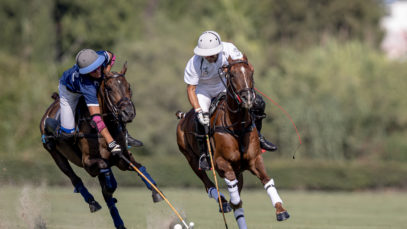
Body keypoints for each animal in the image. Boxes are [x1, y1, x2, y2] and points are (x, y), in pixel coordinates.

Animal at [40, 63, 163, 229]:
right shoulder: (88, 163)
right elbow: (106, 175)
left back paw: (119, 222)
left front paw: (156, 192)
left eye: (129, 87)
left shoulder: (121, 158)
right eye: (109, 89)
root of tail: (51, 107)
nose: (128, 113)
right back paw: (92, 201)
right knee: (75, 178)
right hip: (55, 153)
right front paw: (111, 186)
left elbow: (139, 168)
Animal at [178, 56, 290, 229]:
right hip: (191, 160)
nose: (248, 98)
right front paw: (229, 202)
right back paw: (223, 202)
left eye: (251, 72)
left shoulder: (254, 160)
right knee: (208, 185)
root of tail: (183, 117)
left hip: (238, 170)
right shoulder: (222, 163)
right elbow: (235, 197)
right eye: (231, 75)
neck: (237, 125)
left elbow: (267, 180)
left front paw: (280, 210)